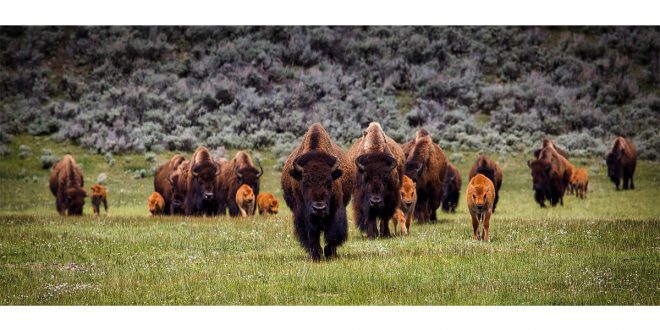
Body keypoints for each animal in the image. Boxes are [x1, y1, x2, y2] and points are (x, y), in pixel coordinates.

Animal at [282, 122, 356, 262]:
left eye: (329, 182)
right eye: (305, 183)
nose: (319, 208)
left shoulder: (336, 209)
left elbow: (333, 233)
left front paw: (328, 253)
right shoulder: (303, 214)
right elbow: (311, 235)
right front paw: (316, 255)